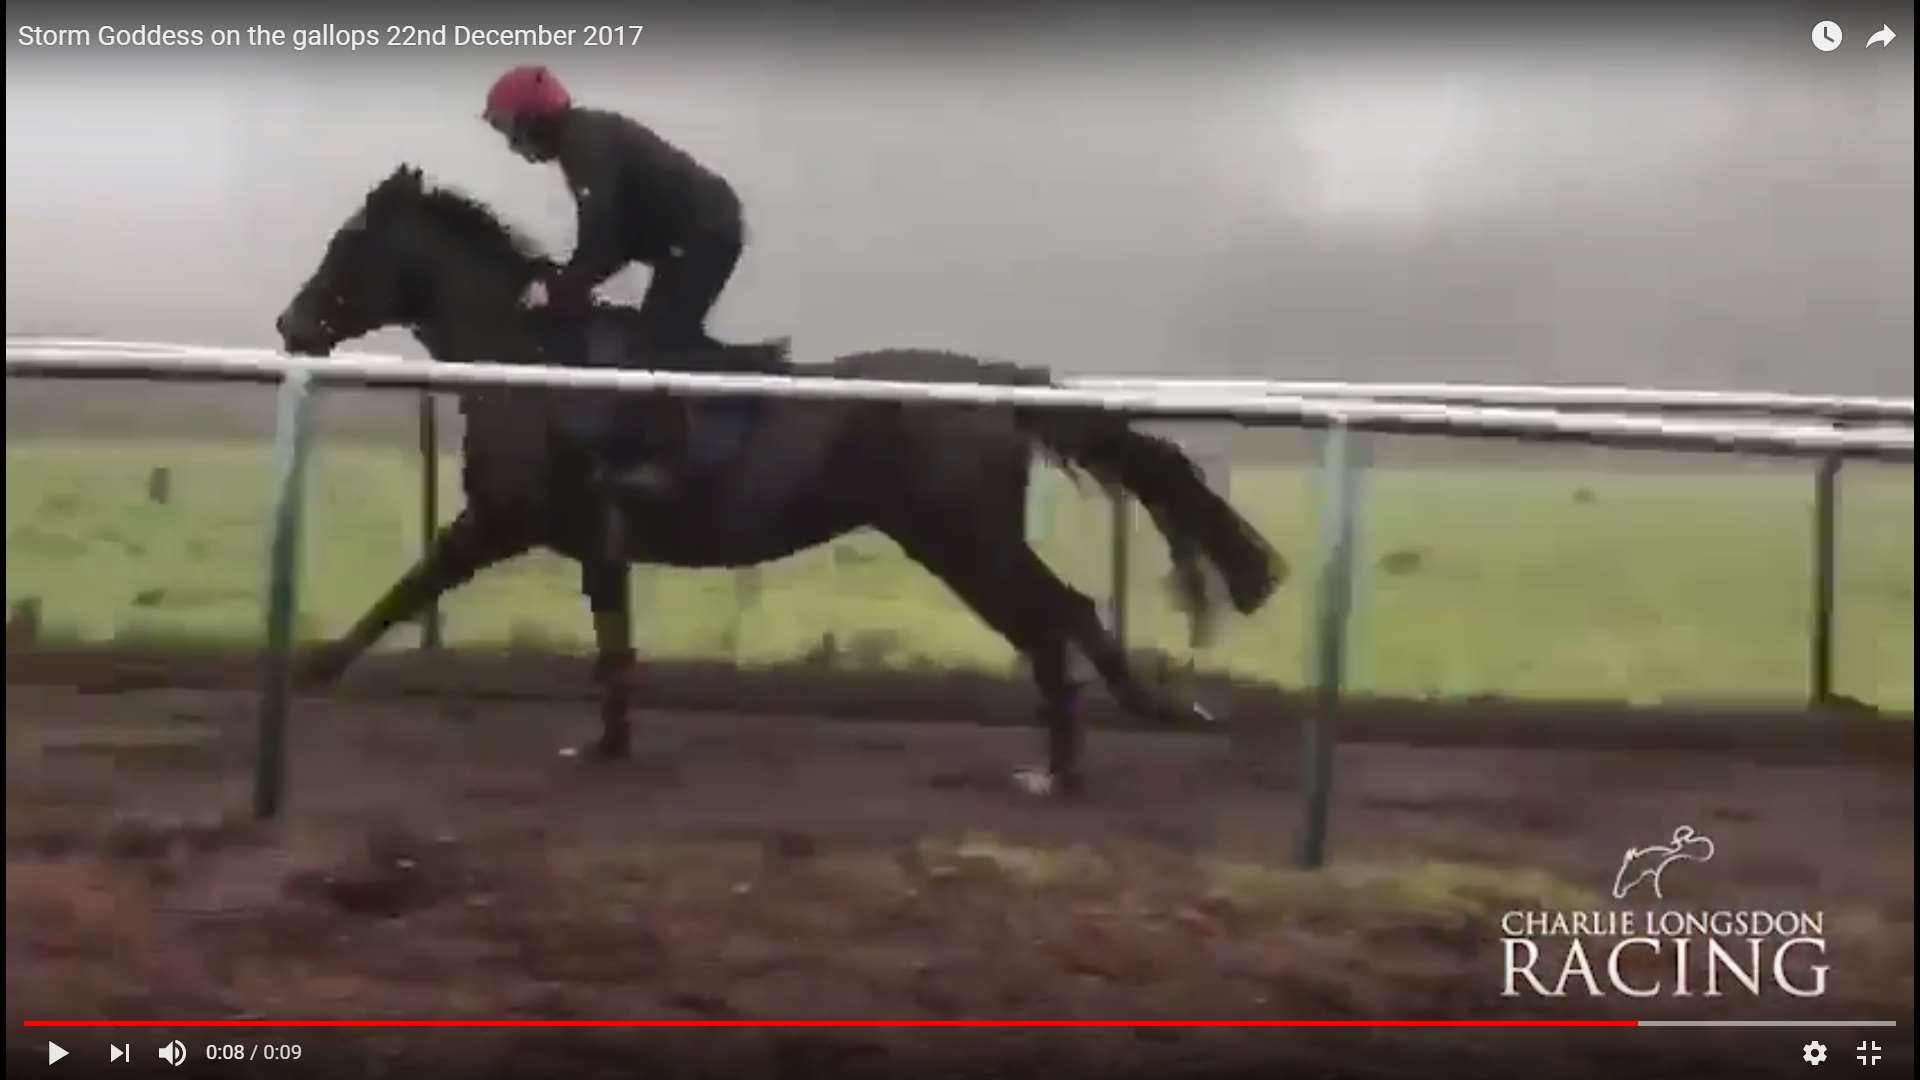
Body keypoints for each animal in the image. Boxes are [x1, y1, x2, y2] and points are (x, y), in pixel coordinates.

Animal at [274, 166, 1290, 791]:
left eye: (348, 246)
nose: (291, 325)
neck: (531, 364)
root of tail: (999, 384)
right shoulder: (595, 540)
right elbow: (613, 644)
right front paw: (609, 741)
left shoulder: (502, 518)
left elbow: (407, 590)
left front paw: (312, 667)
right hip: (956, 534)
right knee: (1060, 615)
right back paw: (1094, 741)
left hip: (954, 533)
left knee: (1056, 614)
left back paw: (1069, 763)